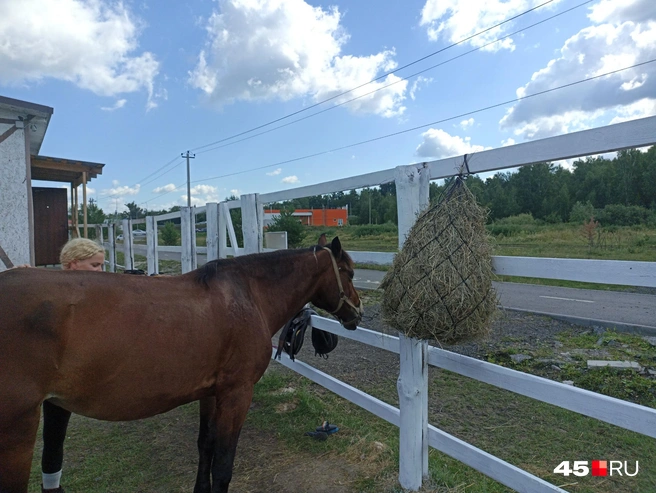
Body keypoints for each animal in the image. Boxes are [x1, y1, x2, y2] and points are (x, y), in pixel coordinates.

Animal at [0, 235, 363, 493]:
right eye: (349, 272)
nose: (357, 314)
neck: (248, 295)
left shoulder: (211, 393)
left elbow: (206, 447)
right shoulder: (237, 393)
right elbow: (223, 465)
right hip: (18, 428)